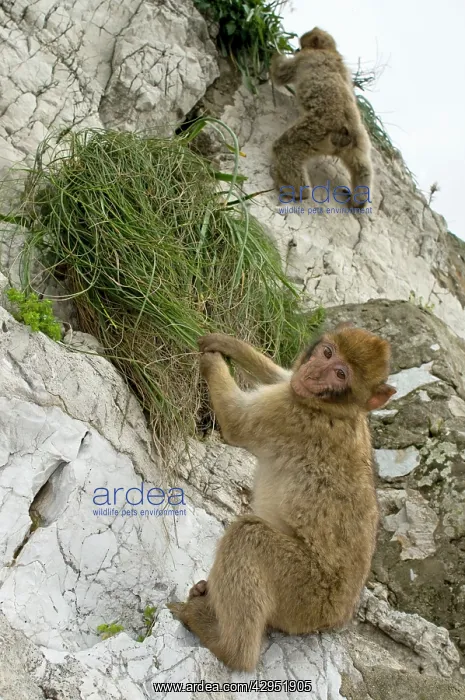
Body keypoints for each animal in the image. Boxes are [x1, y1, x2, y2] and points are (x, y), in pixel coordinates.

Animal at [168, 325, 396, 671]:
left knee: (248, 535)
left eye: (340, 374)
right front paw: (227, 345)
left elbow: (237, 421)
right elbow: (281, 376)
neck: (336, 410)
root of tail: (336, 618)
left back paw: (228, 646)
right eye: (328, 354)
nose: (313, 374)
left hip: (304, 592)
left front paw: (211, 362)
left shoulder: (289, 416)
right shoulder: (292, 393)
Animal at [269, 27, 373, 208]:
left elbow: (280, 74)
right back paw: (358, 201)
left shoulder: (305, 58)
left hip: (316, 130)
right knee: (363, 168)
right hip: (359, 144)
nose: (297, 49)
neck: (330, 51)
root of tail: (346, 132)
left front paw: (274, 51)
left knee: (285, 147)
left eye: (302, 45)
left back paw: (297, 190)